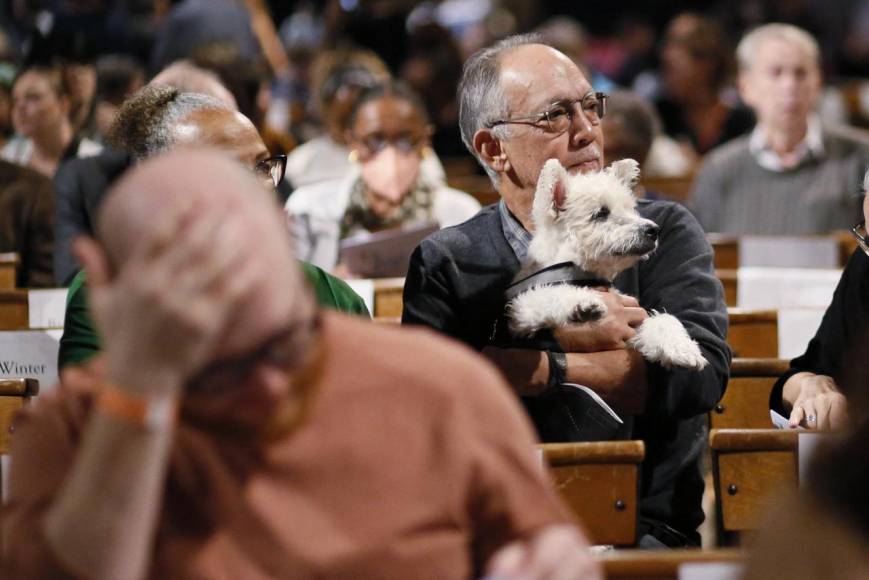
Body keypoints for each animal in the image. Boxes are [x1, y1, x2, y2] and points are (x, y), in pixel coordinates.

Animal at [508, 157, 704, 372]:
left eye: (630, 209)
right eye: (601, 213)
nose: (654, 230)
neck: (581, 271)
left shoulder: (633, 325)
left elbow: (664, 319)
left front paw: (681, 348)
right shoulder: (518, 314)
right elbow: (546, 294)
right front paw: (581, 303)